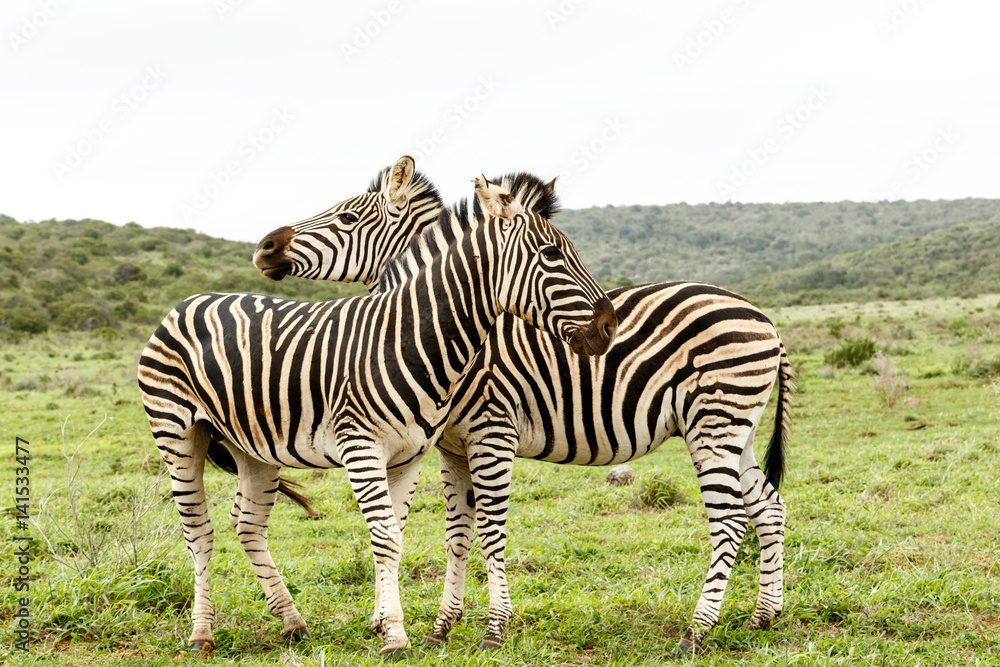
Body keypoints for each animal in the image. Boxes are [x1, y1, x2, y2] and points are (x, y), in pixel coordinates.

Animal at [138, 173, 617, 657]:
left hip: (252, 445)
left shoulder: (411, 453)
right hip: (177, 433)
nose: (609, 326)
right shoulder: (364, 447)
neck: (408, 337)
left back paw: (292, 622)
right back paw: (202, 634)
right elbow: (386, 537)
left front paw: (387, 625)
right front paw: (396, 636)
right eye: (551, 254)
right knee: (198, 530)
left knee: (248, 525)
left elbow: (396, 536)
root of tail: (187, 301)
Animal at [254, 156, 792, 654]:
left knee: (730, 520)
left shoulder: (492, 431)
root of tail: (763, 316)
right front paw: (440, 628)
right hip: (735, 430)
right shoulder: (451, 446)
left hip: (714, 425)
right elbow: (457, 534)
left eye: (346, 217)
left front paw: (493, 630)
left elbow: (491, 532)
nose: (265, 248)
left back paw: (697, 630)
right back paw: (763, 616)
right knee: (768, 507)